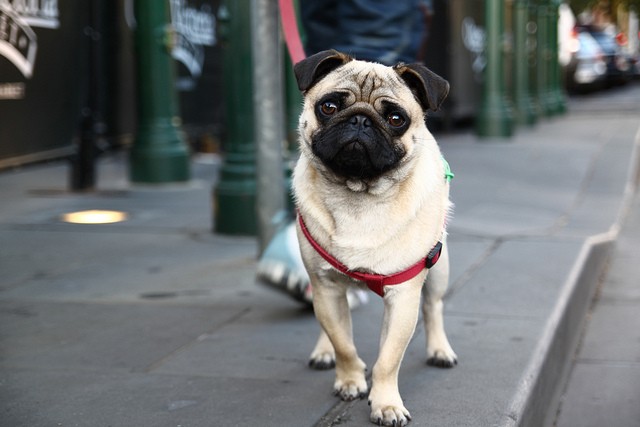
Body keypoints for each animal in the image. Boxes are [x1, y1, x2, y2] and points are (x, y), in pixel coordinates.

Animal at [292, 51, 458, 427]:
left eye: (396, 118)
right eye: (328, 106)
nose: (360, 120)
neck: (358, 195)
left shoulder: (404, 295)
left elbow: (388, 360)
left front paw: (386, 404)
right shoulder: (326, 286)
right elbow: (344, 343)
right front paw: (350, 380)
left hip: (440, 269)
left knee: (434, 307)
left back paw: (440, 349)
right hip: (319, 284)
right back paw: (323, 351)